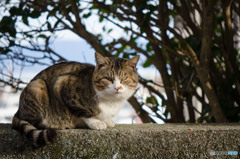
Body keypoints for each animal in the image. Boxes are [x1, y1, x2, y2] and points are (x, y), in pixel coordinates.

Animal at [11, 52, 139, 147]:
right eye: (108, 79)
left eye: (124, 78)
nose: (117, 87)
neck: (111, 101)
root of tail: (18, 110)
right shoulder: (63, 85)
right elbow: (83, 112)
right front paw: (96, 122)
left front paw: (107, 121)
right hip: (37, 87)